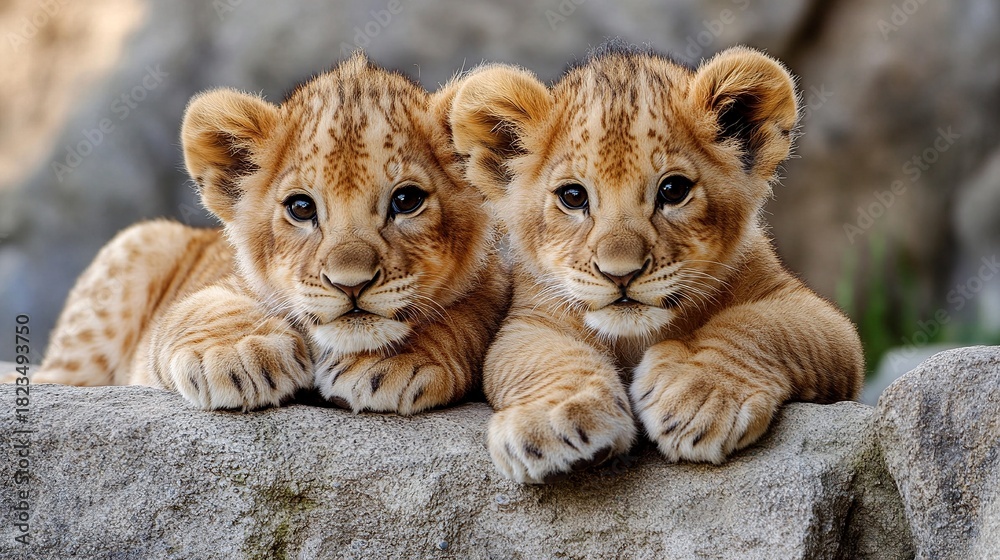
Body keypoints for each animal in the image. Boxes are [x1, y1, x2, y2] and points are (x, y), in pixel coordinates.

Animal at [31, 53, 509, 413]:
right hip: (135, 250)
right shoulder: (224, 283)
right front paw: (239, 354)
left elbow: (465, 318)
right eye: (301, 208)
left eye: (406, 201)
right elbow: (200, 309)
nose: (350, 285)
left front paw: (396, 363)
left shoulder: (496, 285)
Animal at [450, 43, 864, 482]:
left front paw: (700, 393)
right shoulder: (530, 318)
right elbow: (541, 357)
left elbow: (758, 326)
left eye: (673, 190)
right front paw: (553, 419)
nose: (621, 274)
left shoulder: (823, 321)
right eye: (573, 197)